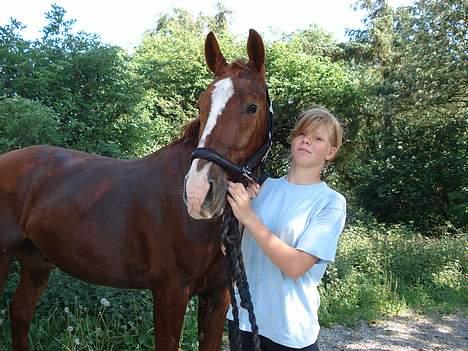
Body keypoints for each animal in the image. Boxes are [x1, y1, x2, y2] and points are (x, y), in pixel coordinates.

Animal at [0, 31, 266, 351]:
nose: (198, 192)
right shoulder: (170, 292)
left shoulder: (217, 296)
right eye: (201, 104)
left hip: (36, 262)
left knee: (20, 312)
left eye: (252, 107)